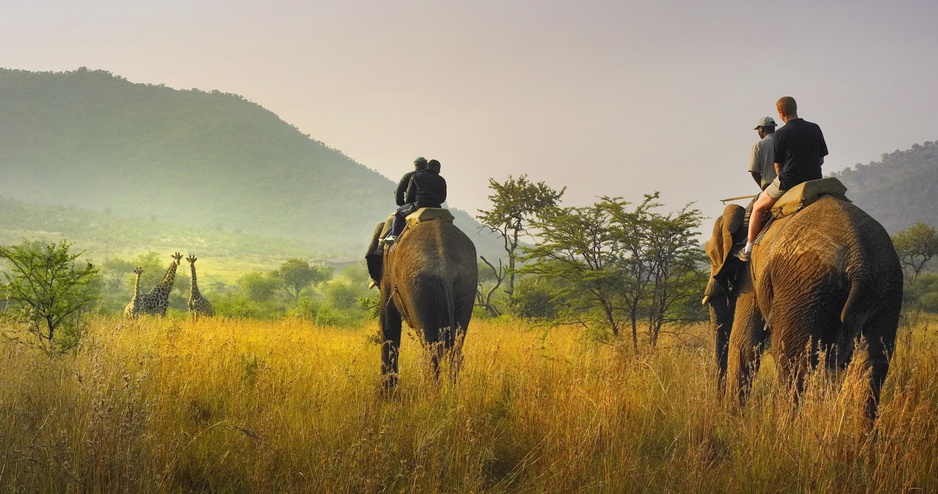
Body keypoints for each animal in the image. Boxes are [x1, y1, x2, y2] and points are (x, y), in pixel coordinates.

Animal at [370, 211, 478, 390]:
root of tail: (446, 269)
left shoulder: (386, 277)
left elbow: (388, 325)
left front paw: (387, 393)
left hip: (418, 286)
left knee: (430, 346)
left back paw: (432, 392)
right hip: (466, 284)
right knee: (455, 345)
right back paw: (452, 391)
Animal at [704, 191, 904, 422]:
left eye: (711, 255)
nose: (718, 406)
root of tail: (859, 261)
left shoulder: (751, 274)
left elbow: (744, 342)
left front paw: (733, 418)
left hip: (805, 287)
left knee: (793, 361)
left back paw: (785, 427)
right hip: (885, 286)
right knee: (872, 362)